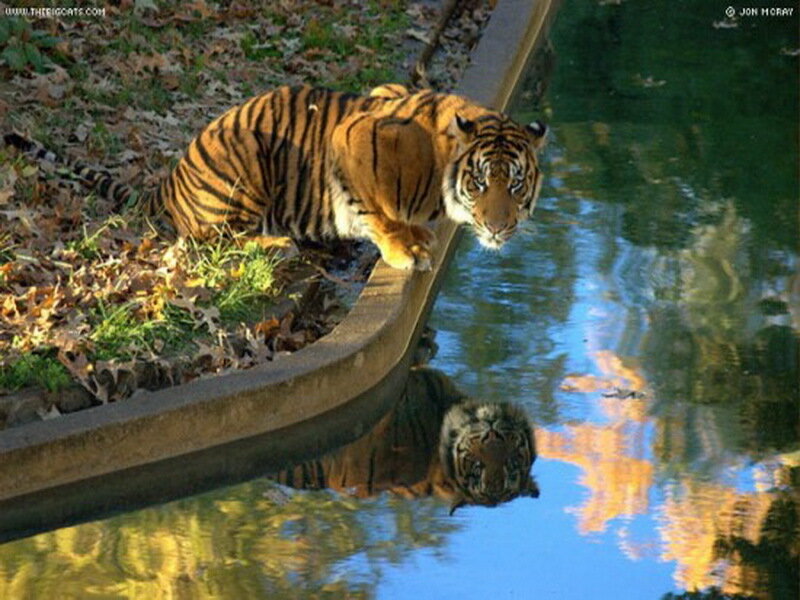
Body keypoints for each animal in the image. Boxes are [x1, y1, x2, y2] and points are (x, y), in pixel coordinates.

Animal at [4, 84, 547, 271]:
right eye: (481, 182)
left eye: (516, 185)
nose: (498, 227)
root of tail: (170, 180)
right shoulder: (354, 137)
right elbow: (375, 208)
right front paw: (404, 248)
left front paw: (415, 234)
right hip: (246, 155)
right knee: (209, 241)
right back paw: (280, 244)